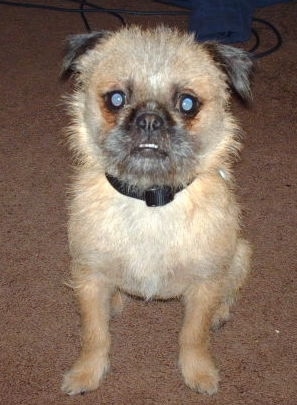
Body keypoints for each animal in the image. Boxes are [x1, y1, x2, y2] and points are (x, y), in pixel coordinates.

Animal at [60, 26, 252, 396]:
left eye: (188, 103)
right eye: (116, 99)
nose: (149, 120)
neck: (150, 199)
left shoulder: (205, 283)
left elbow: (193, 335)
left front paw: (198, 372)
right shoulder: (89, 277)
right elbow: (95, 334)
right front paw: (87, 373)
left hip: (240, 255)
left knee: (229, 290)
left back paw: (220, 312)